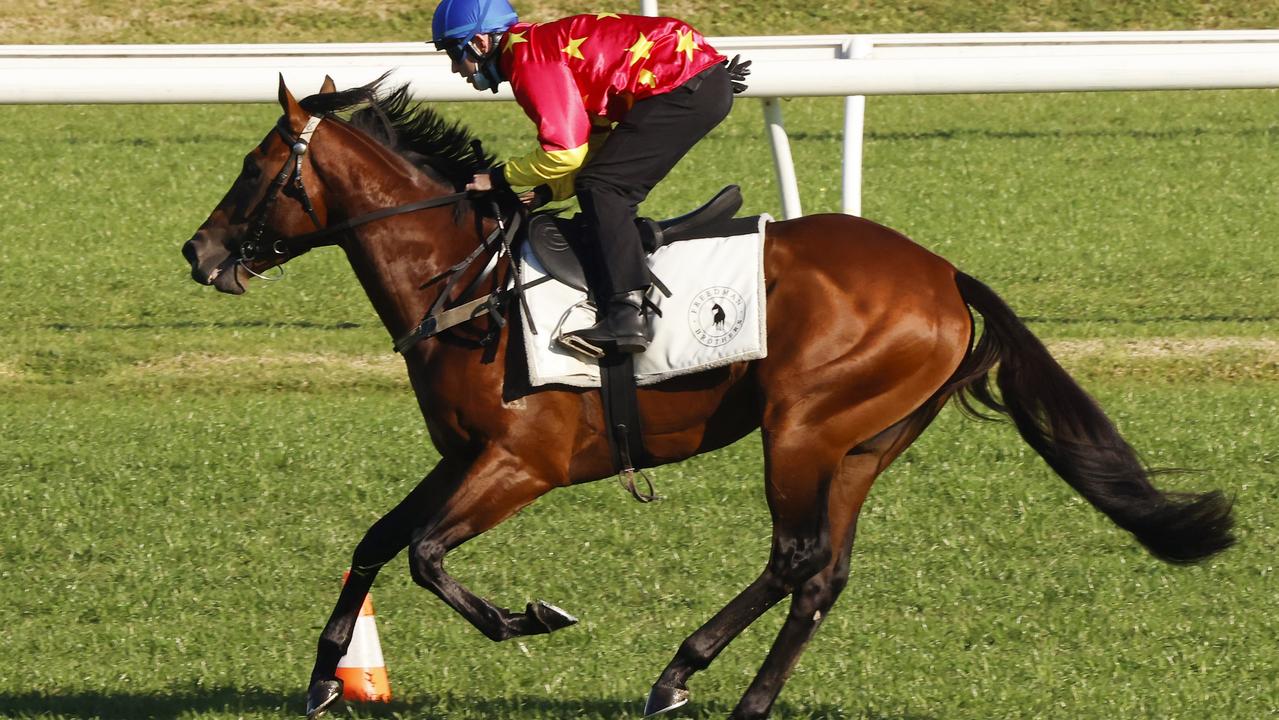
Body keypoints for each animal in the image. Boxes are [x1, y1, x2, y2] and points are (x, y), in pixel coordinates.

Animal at [182, 78, 1238, 720]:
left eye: (253, 169)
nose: (197, 251)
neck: (464, 277)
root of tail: (941, 273)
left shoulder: (522, 463)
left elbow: (428, 556)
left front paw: (529, 619)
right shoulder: (462, 454)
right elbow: (376, 541)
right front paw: (325, 676)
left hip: (801, 427)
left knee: (795, 556)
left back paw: (678, 672)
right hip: (863, 444)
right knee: (822, 576)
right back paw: (745, 697)